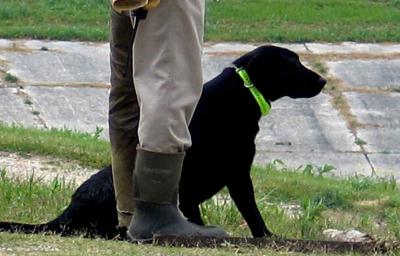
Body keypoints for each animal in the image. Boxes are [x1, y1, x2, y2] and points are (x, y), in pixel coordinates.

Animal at [0, 45, 324, 240]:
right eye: (294, 64)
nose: (322, 81)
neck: (244, 90)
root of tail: (68, 211)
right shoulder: (237, 174)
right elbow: (251, 211)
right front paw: (266, 237)